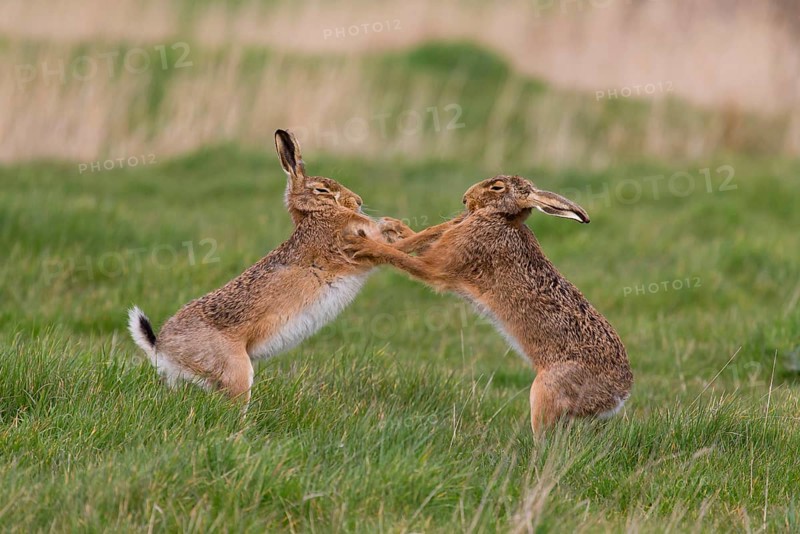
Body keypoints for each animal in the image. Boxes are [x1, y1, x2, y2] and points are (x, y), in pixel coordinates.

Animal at [345, 175, 633, 433]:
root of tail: (619, 396)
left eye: (497, 187)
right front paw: (391, 226)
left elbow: (401, 257)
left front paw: (362, 245)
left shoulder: (437, 267)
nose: (465, 199)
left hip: (546, 392)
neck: (500, 219)